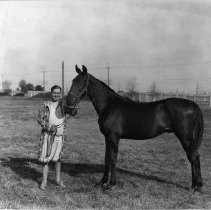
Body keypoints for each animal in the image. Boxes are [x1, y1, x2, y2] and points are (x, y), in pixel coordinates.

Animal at [66, 65, 204, 193]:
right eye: (73, 81)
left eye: (82, 81)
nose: (69, 105)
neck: (109, 105)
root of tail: (194, 105)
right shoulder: (107, 137)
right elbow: (106, 158)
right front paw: (103, 182)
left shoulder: (114, 137)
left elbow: (113, 159)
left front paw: (111, 184)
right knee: (191, 157)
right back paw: (193, 185)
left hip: (185, 137)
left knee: (194, 157)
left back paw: (198, 187)